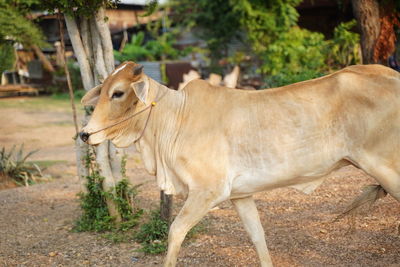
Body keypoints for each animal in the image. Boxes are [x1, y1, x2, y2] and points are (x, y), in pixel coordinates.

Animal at [79, 61, 400, 267]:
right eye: (103, 90)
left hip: (388, 170)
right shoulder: (241, 195)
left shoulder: (207, 191)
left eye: (118, 92)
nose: (84, 134)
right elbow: (258, 238)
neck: (175, 118)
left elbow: (175, 232)